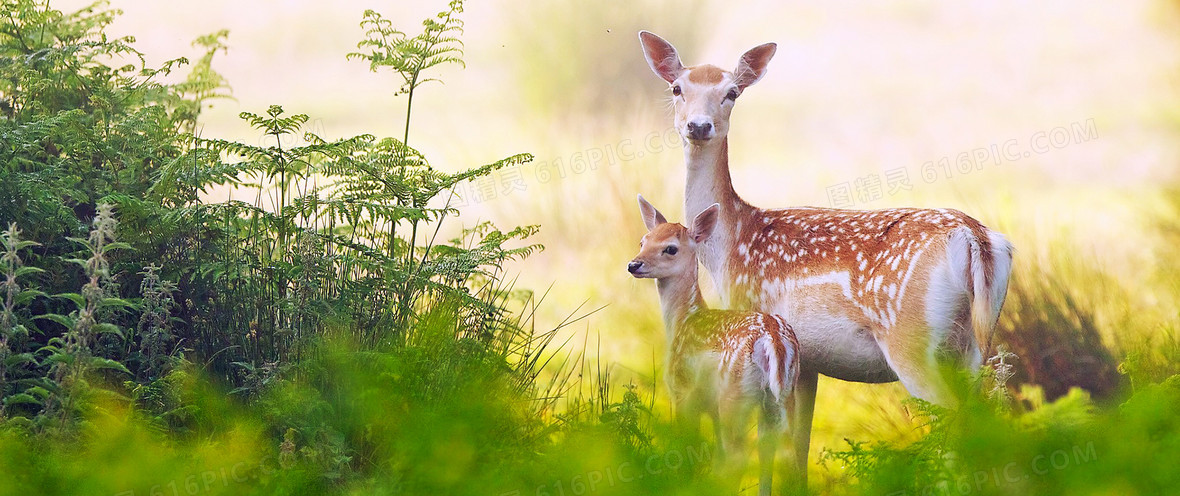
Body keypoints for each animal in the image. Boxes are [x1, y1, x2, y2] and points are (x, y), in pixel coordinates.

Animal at [627, 196, 802, 493]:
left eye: (670, 248)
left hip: (734, 394)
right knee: (782, 452)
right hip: (782, 395)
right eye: (643, 241)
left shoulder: (683, 390)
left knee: (738, 456)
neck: (684, 320)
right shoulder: (710, 406)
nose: (633, 265)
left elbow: (685, 447)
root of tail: (773, 339)